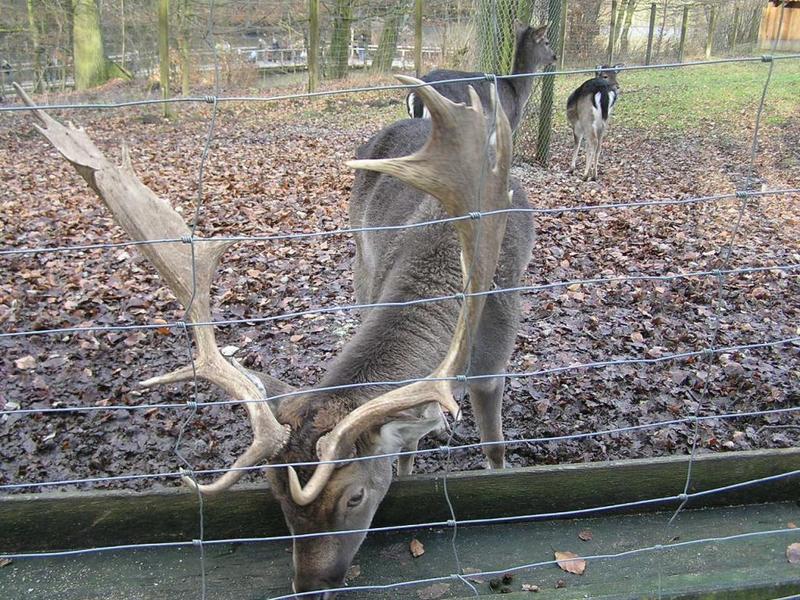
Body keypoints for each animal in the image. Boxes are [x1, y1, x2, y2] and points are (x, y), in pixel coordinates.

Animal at [14, 76, 532, 600]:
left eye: (355, 497)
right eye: (278, 495)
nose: (308, 587)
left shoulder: (495, 355)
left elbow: (494, 447)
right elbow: (408, 449)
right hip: (360, 253)